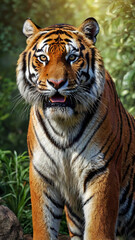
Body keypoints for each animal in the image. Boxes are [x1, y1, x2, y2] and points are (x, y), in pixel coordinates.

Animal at [16, 17, 135, 240]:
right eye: (43, 58)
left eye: (72, 57)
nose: (56, 83)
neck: (64, 125)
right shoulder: (41, 172)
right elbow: (43, 226)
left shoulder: (102, 170)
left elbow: (98, 229)